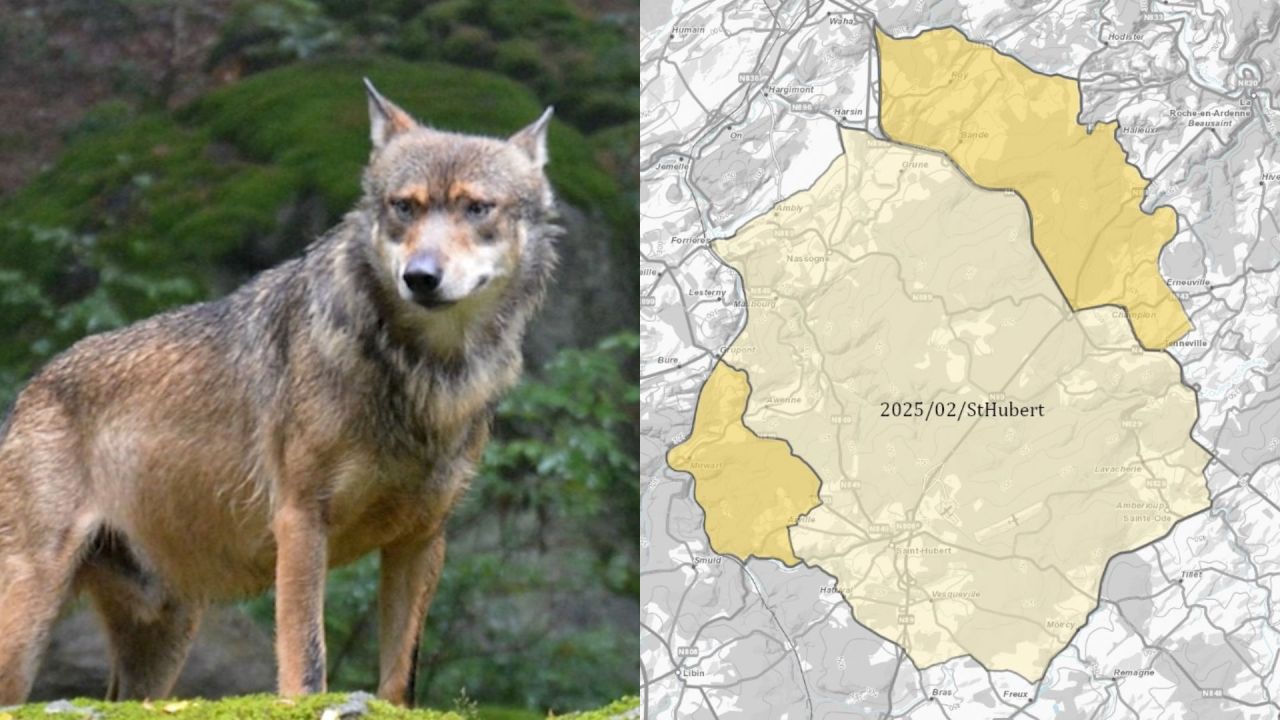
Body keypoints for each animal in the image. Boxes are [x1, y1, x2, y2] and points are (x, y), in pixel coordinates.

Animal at [0, 80, 559, 705]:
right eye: (404, 207)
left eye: (477, 208)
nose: (420, 276)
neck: (423, 372)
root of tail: (31, 388)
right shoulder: (300, 520)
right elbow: (307, 658)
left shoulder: (422, 540)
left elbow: (400, 677)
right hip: (29, 622)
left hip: (162, 642)